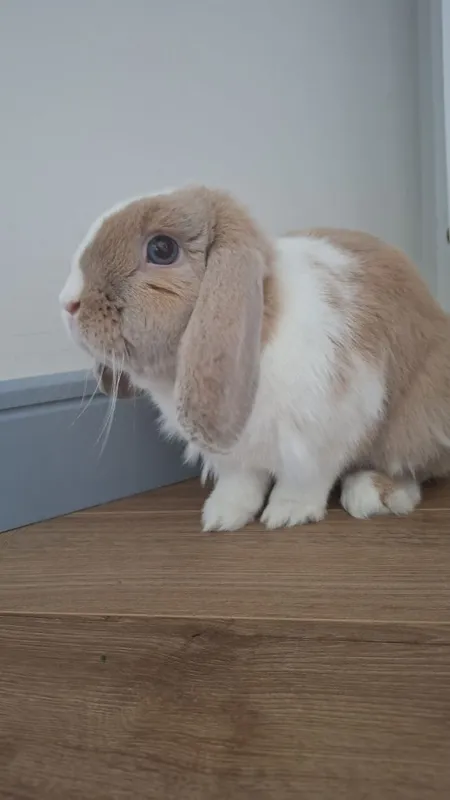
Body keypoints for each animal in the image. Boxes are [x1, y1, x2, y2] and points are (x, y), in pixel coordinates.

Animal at [59, 185, 450, 531]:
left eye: (161, 248)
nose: (67, 303)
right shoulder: (235, 454)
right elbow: (241, 484)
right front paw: (221, 516)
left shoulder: (325, 432)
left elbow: (306, 480)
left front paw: (286, 513)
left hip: (419, 414)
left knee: (416, 463)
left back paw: (373, 493)